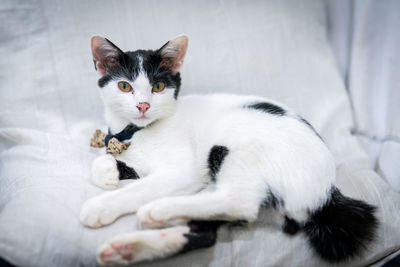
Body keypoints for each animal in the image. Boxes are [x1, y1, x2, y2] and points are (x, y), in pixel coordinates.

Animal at [80, 35, 378, 266]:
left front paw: (101, 205)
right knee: (208, 230)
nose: (143, 105)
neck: (135, 132)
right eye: (124, 86)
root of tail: (327, 193)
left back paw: (159, 210)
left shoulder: (183, 171)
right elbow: (106, 159)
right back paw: (130, 248)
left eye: (158, 86)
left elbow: (139, 188)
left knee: (239, 203)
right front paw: (107, 170)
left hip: (233, 145)